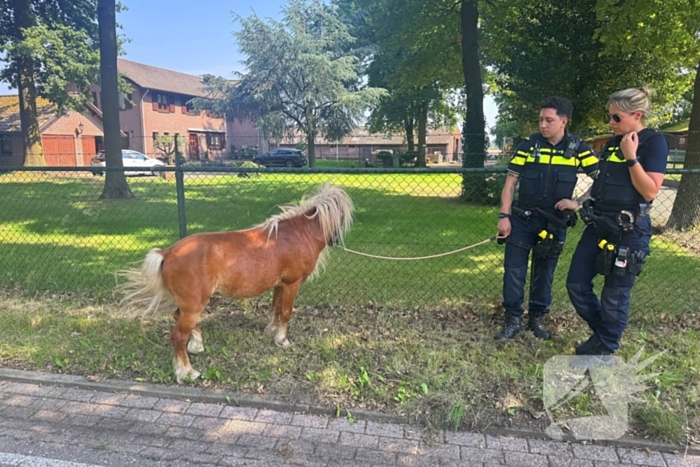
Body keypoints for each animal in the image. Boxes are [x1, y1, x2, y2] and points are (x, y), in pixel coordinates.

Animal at [117, 183, 354, 384]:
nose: (335, 240)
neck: (299, 233)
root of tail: (167, 253)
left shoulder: (279, 285)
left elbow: (276, 309)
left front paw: (271, 331)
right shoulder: (291, 283)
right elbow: (286, 312)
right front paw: (282, 340)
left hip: (189, 304)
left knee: (179, 320)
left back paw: (197, 344)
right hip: (194, 304)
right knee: (177, 336)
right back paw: (187, 372)